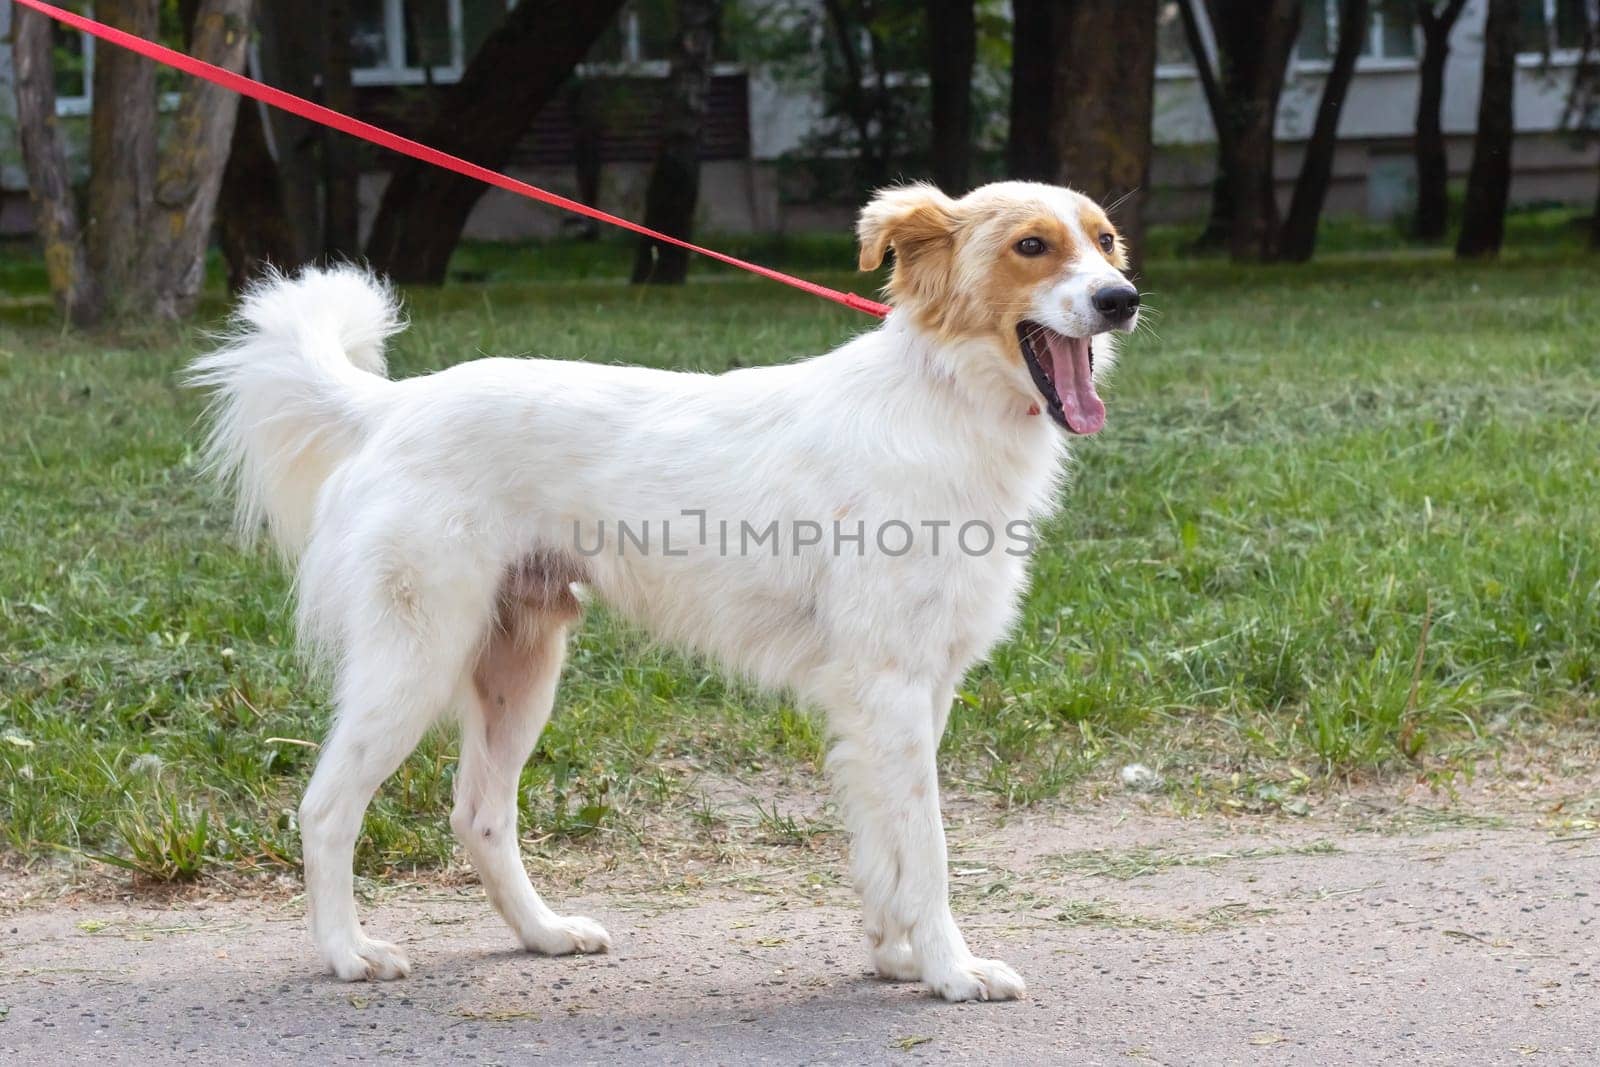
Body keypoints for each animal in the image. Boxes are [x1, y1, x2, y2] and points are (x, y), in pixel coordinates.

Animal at [187, 177, 1139, 1004]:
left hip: (519, 669)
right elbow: (929, 848)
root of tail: (392, 406)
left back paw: (543, 932)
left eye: (1105, 240)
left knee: (479, 815)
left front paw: (895, 954)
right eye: (1030, 246)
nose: (1122, 299)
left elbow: (884, 844)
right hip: (414, 662)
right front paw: (951, 969)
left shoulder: (907, 695)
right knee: (325, 808)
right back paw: (348, 951)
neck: (943, 402)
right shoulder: (893, 688)